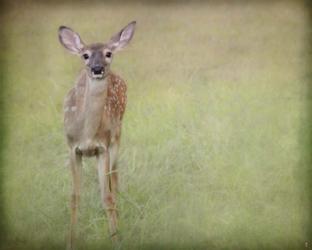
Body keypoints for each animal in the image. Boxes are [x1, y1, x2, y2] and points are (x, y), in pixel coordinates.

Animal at [58, 22, 136, 250]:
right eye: (85, 55)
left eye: (108, 53)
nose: (97, 68)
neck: (87, 133)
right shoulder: (72, 149)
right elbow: (74, 197)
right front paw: (70, 242)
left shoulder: (103, 147)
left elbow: (107, 197)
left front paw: (116, 238)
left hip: (117, 135)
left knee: (115, 177)